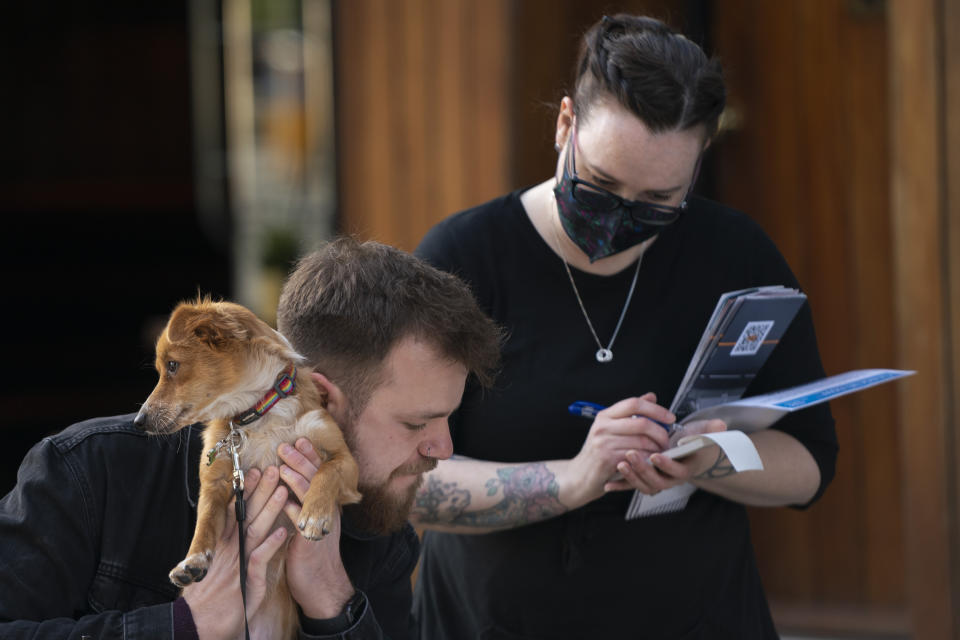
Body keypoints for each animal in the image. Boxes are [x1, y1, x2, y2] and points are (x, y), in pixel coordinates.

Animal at [133, 298, 362, 636]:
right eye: (164, 369)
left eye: (172, 366)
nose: (139, 421)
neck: (255, 413)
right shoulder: (216, 479)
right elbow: (206, 519)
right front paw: (193, 560)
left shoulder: (345, 462)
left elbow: (326, 471)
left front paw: (314, 514)